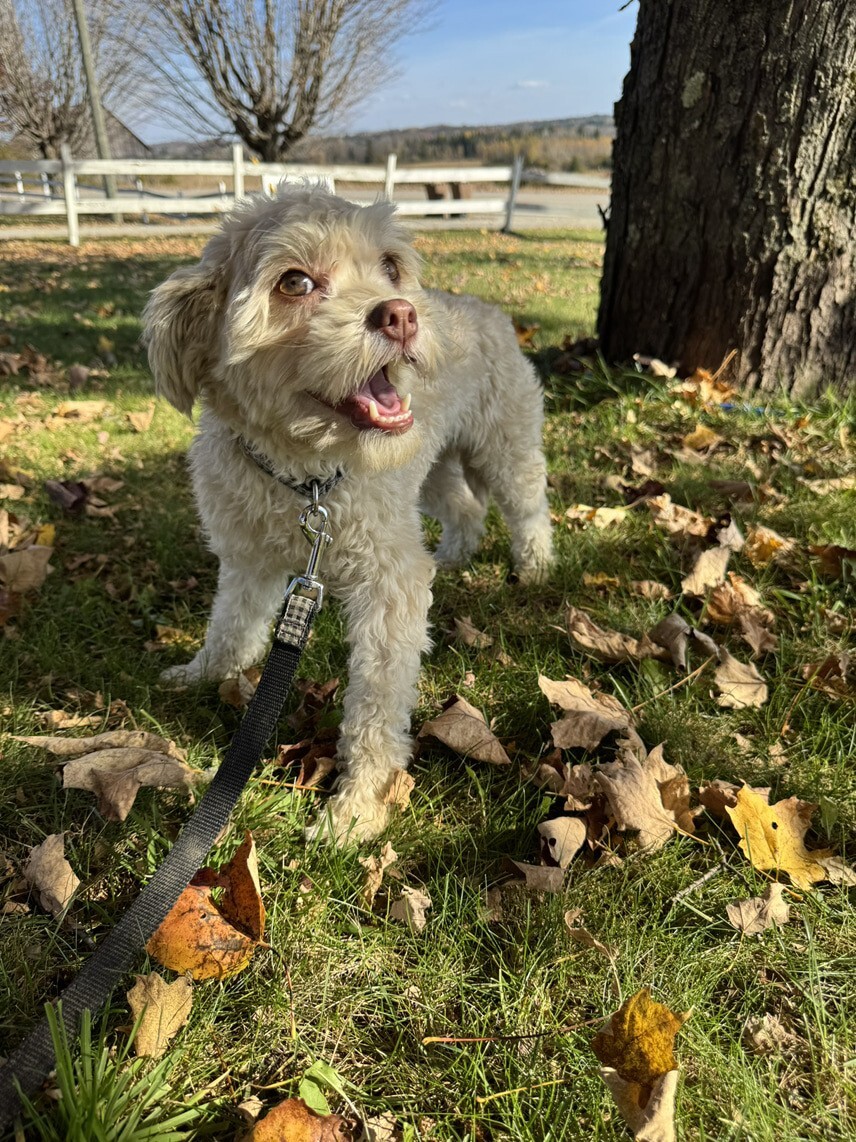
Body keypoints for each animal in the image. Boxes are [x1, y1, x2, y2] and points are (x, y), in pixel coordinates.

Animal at [143, 185, 553, 841]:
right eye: (294, 282)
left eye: (389, 266)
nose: (403, 314)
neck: (305, 477)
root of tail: (486, 309)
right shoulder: (248, 560)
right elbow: (231, 626)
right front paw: (203, 672)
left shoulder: (390, 585)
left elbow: (375, 706)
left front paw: (356, 808)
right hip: (430, 473)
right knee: (465, 507)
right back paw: (454, 556)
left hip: (503, 444)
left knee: (529, 505)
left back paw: (535, 565)